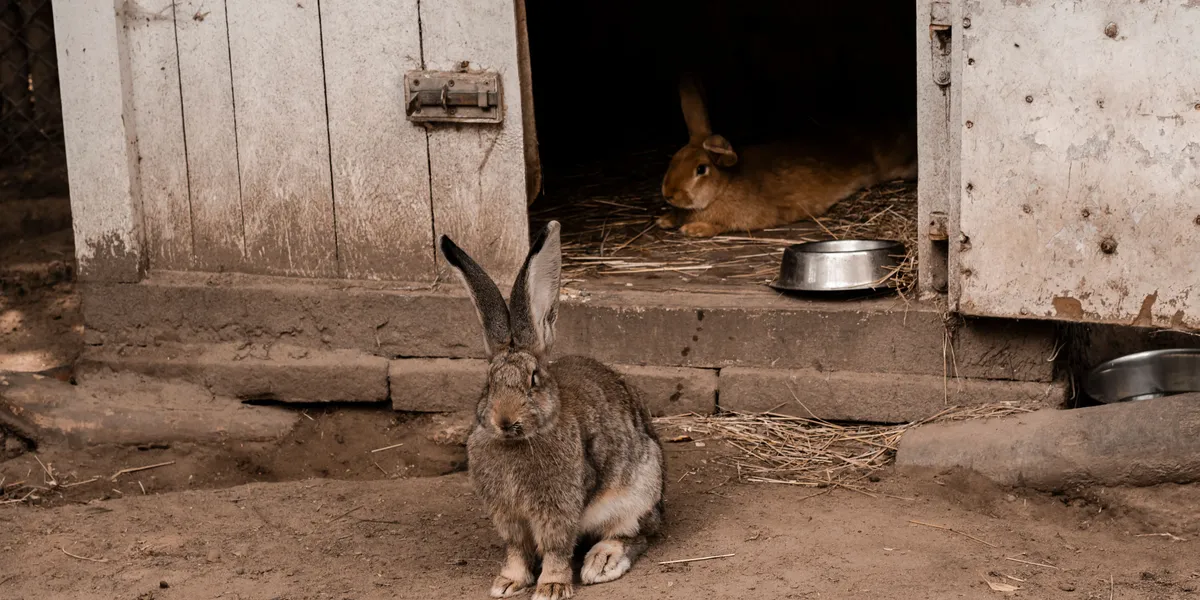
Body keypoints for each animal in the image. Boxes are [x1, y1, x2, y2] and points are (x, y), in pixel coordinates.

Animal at [439, 220, 665, 600]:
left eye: (534, 379)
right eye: (488, 382)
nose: (504, 420)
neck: (519, 442)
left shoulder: (557, 509)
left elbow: (556, 547)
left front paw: (552, 587)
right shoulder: (509, 516)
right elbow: (517, 549)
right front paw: (508, 582)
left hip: (638, 493)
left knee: (636, 534)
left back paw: (601, 562)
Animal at [658, 75, 918, 238]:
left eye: (701, 169)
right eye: (674, 159)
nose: (668, 194)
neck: (722, 188)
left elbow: (721, 225)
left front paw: (694, 229)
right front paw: (665, 220)